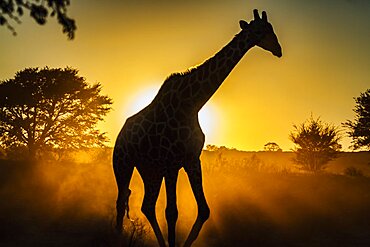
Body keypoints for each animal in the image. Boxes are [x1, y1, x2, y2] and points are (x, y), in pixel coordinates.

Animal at [114, 8, 282, 246]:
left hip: (150, 169)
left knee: (147, 205)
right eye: (260, 31)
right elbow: (172, 212)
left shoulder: (191, 159)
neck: (191, 104)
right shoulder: (171, 163)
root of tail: (120, 134)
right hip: (123, 162)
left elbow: (204, 210)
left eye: (271, 28)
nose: (278, 50)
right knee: (121, 201)